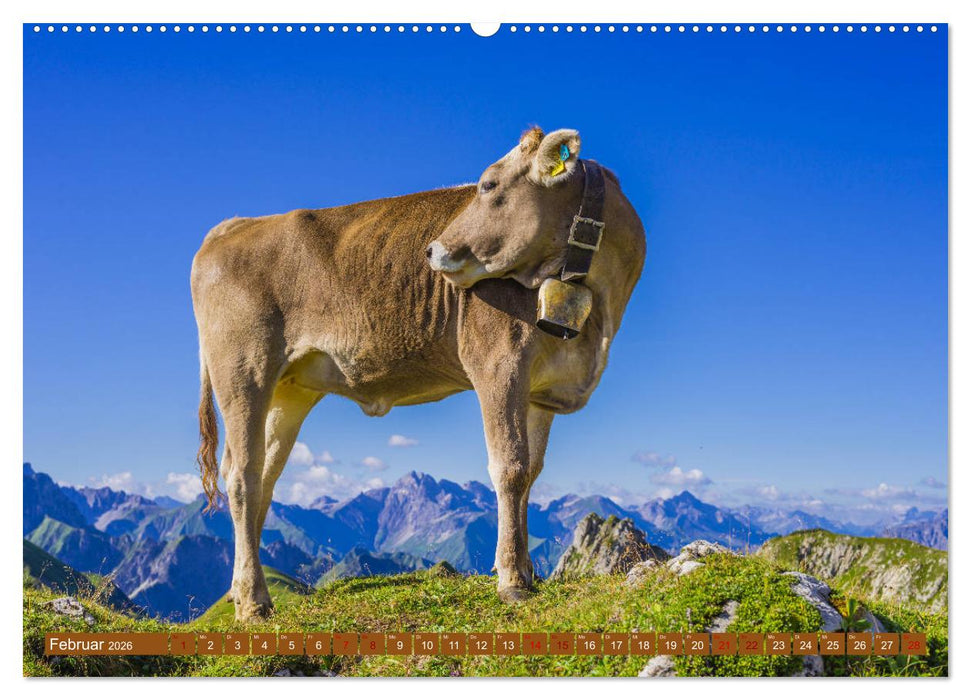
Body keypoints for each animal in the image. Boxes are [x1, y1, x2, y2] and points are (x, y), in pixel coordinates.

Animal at [190, 127, 646, 621]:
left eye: (488, 185)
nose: (431, 249)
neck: (598, 312)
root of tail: (235, 225)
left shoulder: (541, 391)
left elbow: (532, 472)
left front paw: (527, 571)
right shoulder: (498, 365)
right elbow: (509, 467)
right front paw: (511, 580)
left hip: (288, 390)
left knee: (263, 476)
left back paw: (239, 591)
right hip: (243, 371)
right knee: (241, 476)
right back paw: (254, 600)